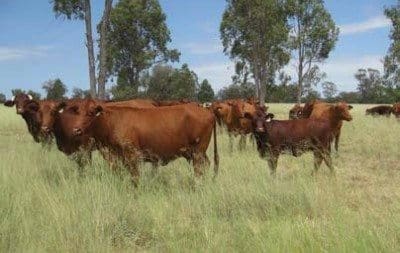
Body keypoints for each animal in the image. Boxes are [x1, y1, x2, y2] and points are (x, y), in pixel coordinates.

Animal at [53, 99, 219, 186]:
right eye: (77, 112)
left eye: (91, 113)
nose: (76, 130)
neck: (112, 122)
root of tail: (205, 109)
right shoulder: (117, 157)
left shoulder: (132, 156)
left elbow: (135, 178)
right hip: (198, 153)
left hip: (198, 152)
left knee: (199, 169)